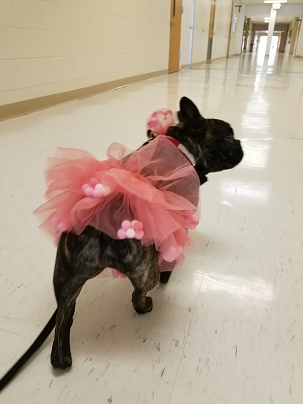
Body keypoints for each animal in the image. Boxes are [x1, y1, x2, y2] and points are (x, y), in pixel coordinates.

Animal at [0, 96, 243, 390]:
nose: (240, 143)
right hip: (143, 269)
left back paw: (62, 356)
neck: (184, 144)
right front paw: (170, 271)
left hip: (64, 275)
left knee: (62, 317)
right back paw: (145, 305)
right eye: (228, 137)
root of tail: (99, 230)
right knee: (137, 293)